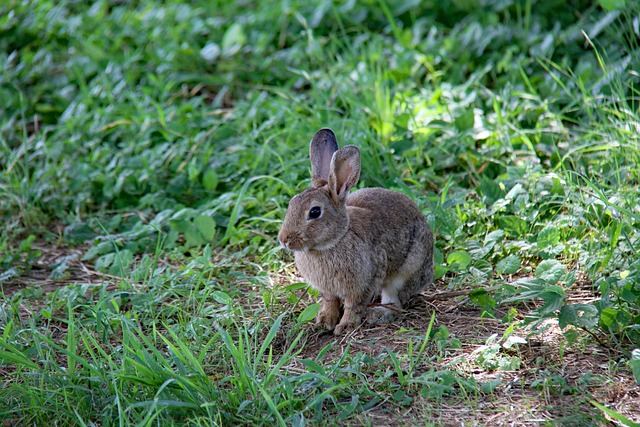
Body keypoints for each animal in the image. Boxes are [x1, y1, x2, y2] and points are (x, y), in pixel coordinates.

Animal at [276, 129, 436, 336]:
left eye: (315, 212)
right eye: (292, 203)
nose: (283, 239)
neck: (335, 240)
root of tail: (429, 272)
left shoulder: (365, 282)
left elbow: (354, 306)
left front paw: (345, 326)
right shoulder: (329, 290)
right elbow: (330, 301)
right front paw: (324, 321)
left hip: (406, 271)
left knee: (395, 301)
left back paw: (378, 314)